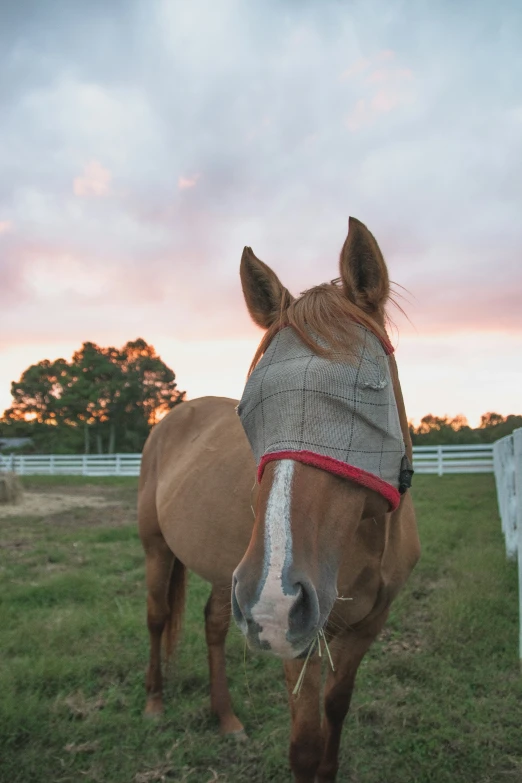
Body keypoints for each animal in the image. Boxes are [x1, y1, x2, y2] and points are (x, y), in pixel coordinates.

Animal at [137, 217, 418, 783]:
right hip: (165, 552)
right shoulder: (297, 636)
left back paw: (225, 717)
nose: (275, 598)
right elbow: (304, 744)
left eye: (371, 389)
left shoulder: (368, 625)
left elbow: (337, 708)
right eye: (247, 407)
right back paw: (155, 704)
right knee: (157, 618)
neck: (369, 536)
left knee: (214, 624)